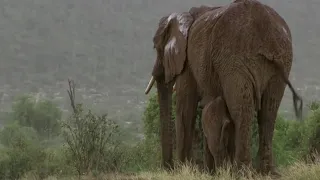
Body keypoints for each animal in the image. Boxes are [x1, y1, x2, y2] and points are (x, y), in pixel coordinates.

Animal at [145, 0, 302, 174]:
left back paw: (242, 172)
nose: (168, 168)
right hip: (281, 61)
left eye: (156, 47)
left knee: (241, 109)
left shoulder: (188, 62)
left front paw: (184, 169)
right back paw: (266, 172)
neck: (185, 16)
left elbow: (185, 108)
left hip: (233, 58)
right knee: (268, 111)